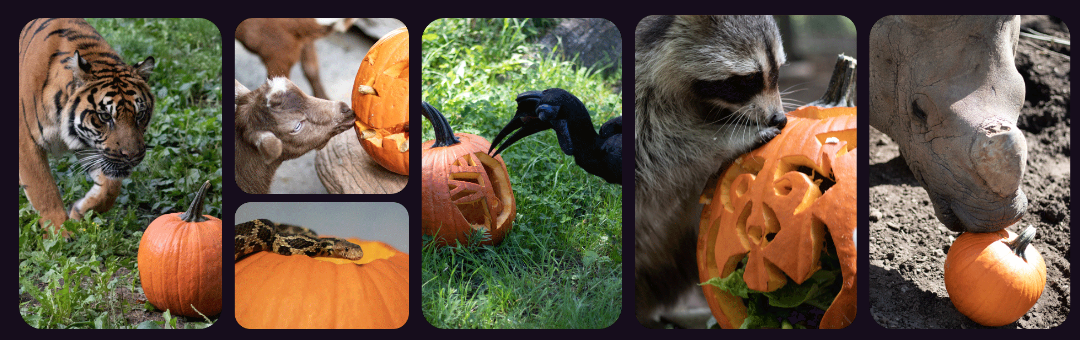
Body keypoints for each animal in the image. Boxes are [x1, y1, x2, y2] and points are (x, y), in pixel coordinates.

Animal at [19, 18, 155, 234]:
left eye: (140, 114)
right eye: (105, 116)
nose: (132, 157)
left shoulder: (92, 146)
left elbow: (110, 189)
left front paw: (78, 212)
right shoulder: (26, 143)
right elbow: (44, 190)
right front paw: (60, 232)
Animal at [630, 15, 786, 328]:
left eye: (778, 71)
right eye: (749, 78)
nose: (779, 117)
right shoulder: (642, 101)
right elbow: (663, 149)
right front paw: (731, 139)